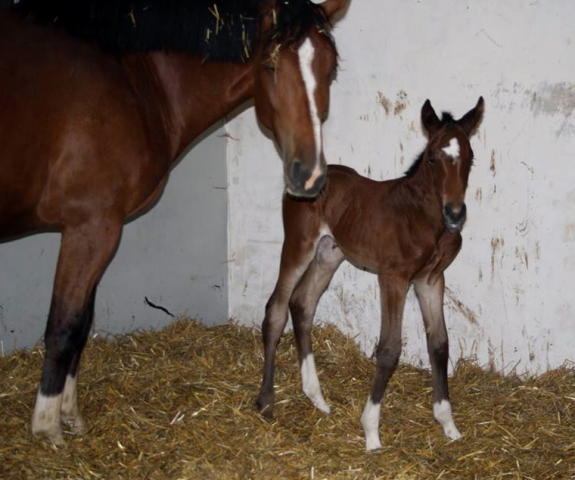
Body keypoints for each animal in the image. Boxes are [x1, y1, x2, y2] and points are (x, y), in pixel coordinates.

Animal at [258, 96, 486, 450]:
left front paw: (448, 425)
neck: (422, 216)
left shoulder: (431, 280)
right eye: (432, 158)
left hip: (329, 253)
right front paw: (371, 431)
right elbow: (390, 349)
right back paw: (267, 403)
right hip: (299, 246)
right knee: (277, 309)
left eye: (470, 158)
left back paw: (317, 397)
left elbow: (439, 343)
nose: (455, 213)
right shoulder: (393, 277)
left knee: (303, 303)